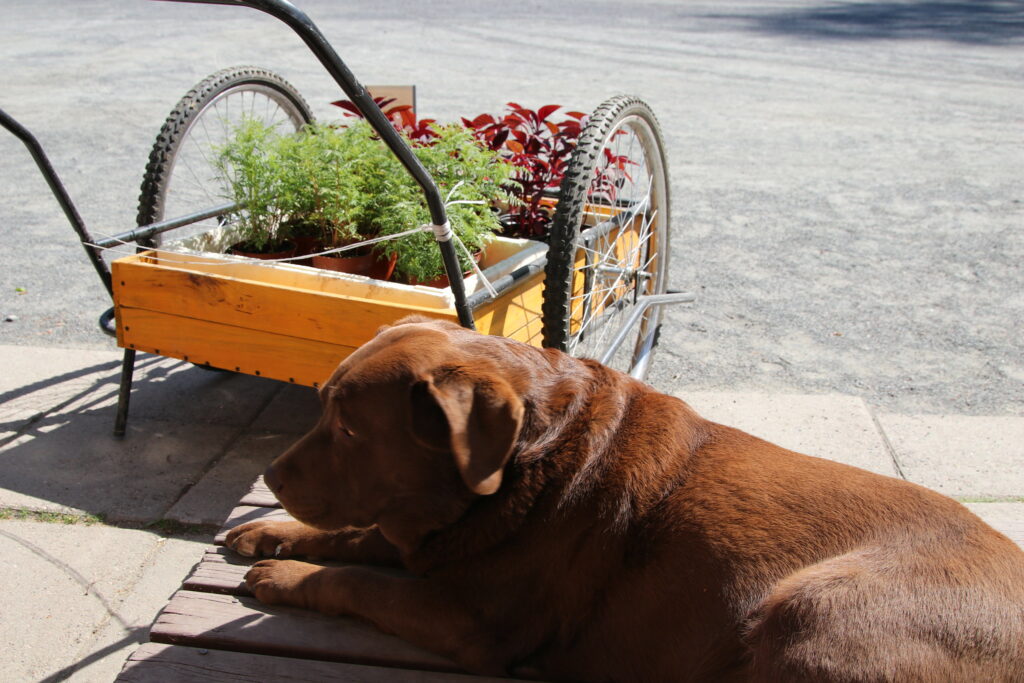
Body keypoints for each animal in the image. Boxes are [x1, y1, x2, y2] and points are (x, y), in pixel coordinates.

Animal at [228, 317, 1024, 679]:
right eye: (323, 408)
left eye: (349, 427)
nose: (270, 476)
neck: (528, 462)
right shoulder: (431, 537)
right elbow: (359, 537)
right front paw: (268, 533)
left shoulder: (474, 620)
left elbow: (360, 579)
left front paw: (287, 573)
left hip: (813, 606)